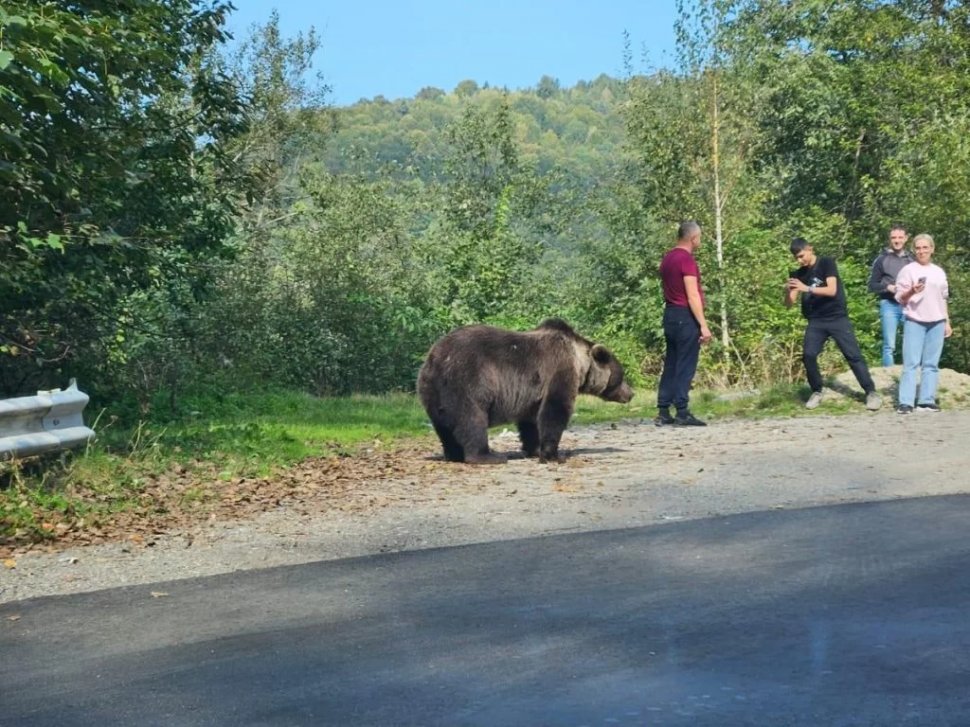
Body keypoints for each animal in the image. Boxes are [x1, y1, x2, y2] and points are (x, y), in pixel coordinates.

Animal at [416, 318, 636, 466]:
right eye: (622, 376)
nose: (631, 393)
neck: (580, 363)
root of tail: (435, 358)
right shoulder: (559, 370)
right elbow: (556, 410)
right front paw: (553, 454)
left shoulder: (531, 393)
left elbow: (531, 421)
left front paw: (535, 448)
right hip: (468, 382)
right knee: (472, 419)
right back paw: (488, 456)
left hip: (431, 391)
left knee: (443, 426)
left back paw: (454, 454)